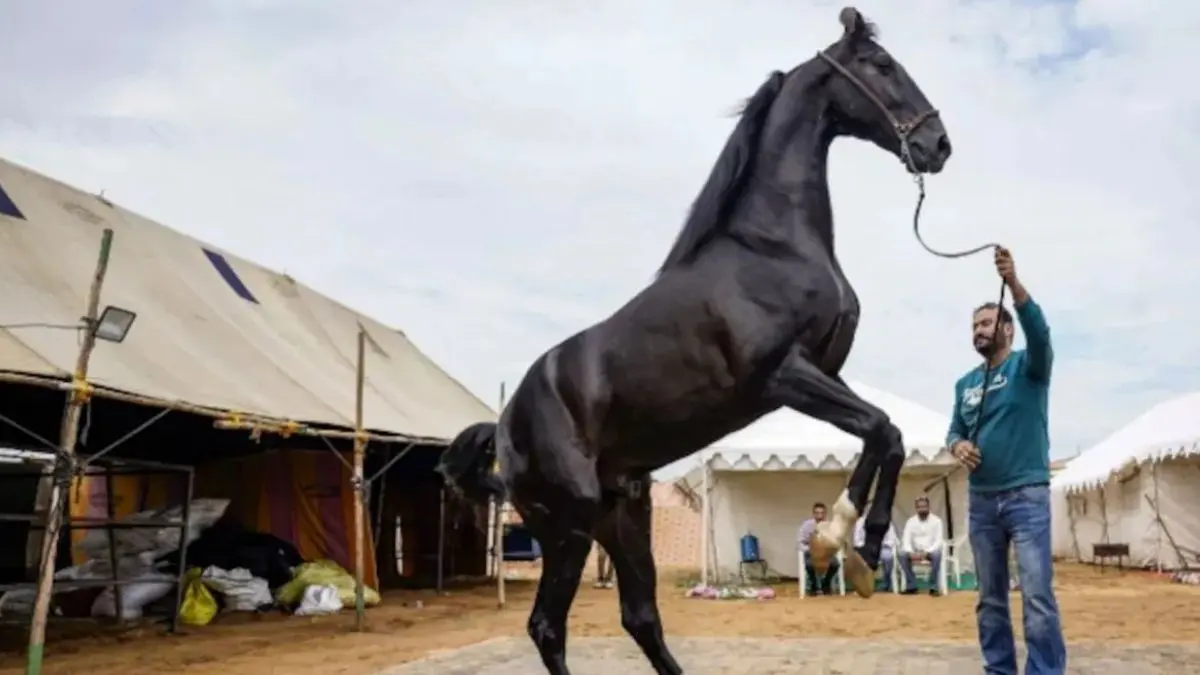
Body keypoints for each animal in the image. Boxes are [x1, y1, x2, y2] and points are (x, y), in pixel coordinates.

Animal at [438, 7, 952, 674]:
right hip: (567, 528)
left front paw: (855, 550)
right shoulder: (783, 376)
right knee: (547, 626)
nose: (937, 144)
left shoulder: (824, 371)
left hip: (623, 518)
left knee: (640, 617)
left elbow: (884, 433)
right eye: (881, 65)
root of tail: (502, 425)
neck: (773, 244)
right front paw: (842, 540)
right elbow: (882, 428)